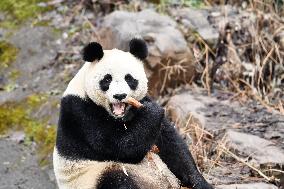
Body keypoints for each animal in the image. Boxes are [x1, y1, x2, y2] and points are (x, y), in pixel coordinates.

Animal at [53, 38, 213, 189]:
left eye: (129, 78)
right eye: (107, 79)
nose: (120, 95)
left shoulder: (143, 100)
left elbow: (171, 143)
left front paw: (198, 181)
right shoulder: (80, 112)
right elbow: (119, 146)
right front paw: (151, 111)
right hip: (93, 175)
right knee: (116, 179)